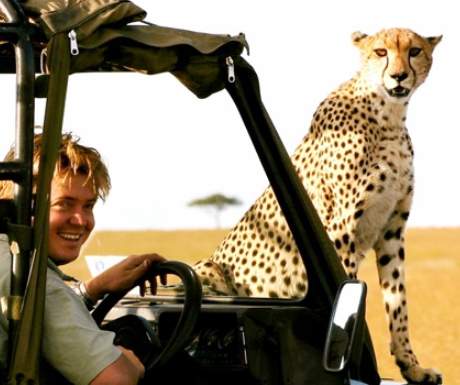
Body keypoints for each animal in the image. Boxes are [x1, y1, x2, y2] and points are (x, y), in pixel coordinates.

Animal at [193, 28, 442, 382]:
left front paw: (412, 367)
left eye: (415, 51)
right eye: (381, 51)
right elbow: (347, 293)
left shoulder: (392, 228)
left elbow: (398, 301)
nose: (398, 76)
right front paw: (349, 361)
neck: (389, 116)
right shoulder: (340, 228)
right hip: (208, 268)